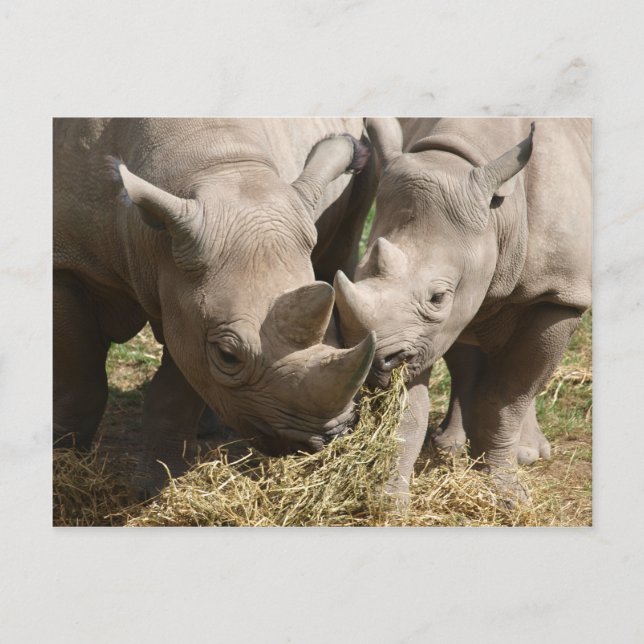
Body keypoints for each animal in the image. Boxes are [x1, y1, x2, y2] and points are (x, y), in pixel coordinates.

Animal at [53, 118, 377, 494]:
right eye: (228, 355)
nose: (326, 436)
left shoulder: (190, 305)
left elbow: (174, 395)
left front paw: (155, 489)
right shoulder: (69, 264)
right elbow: (79, 384)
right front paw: (62, 464)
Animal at [334, 117, 591, 500]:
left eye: (438, 297)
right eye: (358, 274)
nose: (374, 366)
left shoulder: (559, 294)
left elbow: (508, 396)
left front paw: (504, 491)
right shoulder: (420, 335)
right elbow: (410, 407)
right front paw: (388, 498)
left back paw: (526, 454)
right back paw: (451, 445)